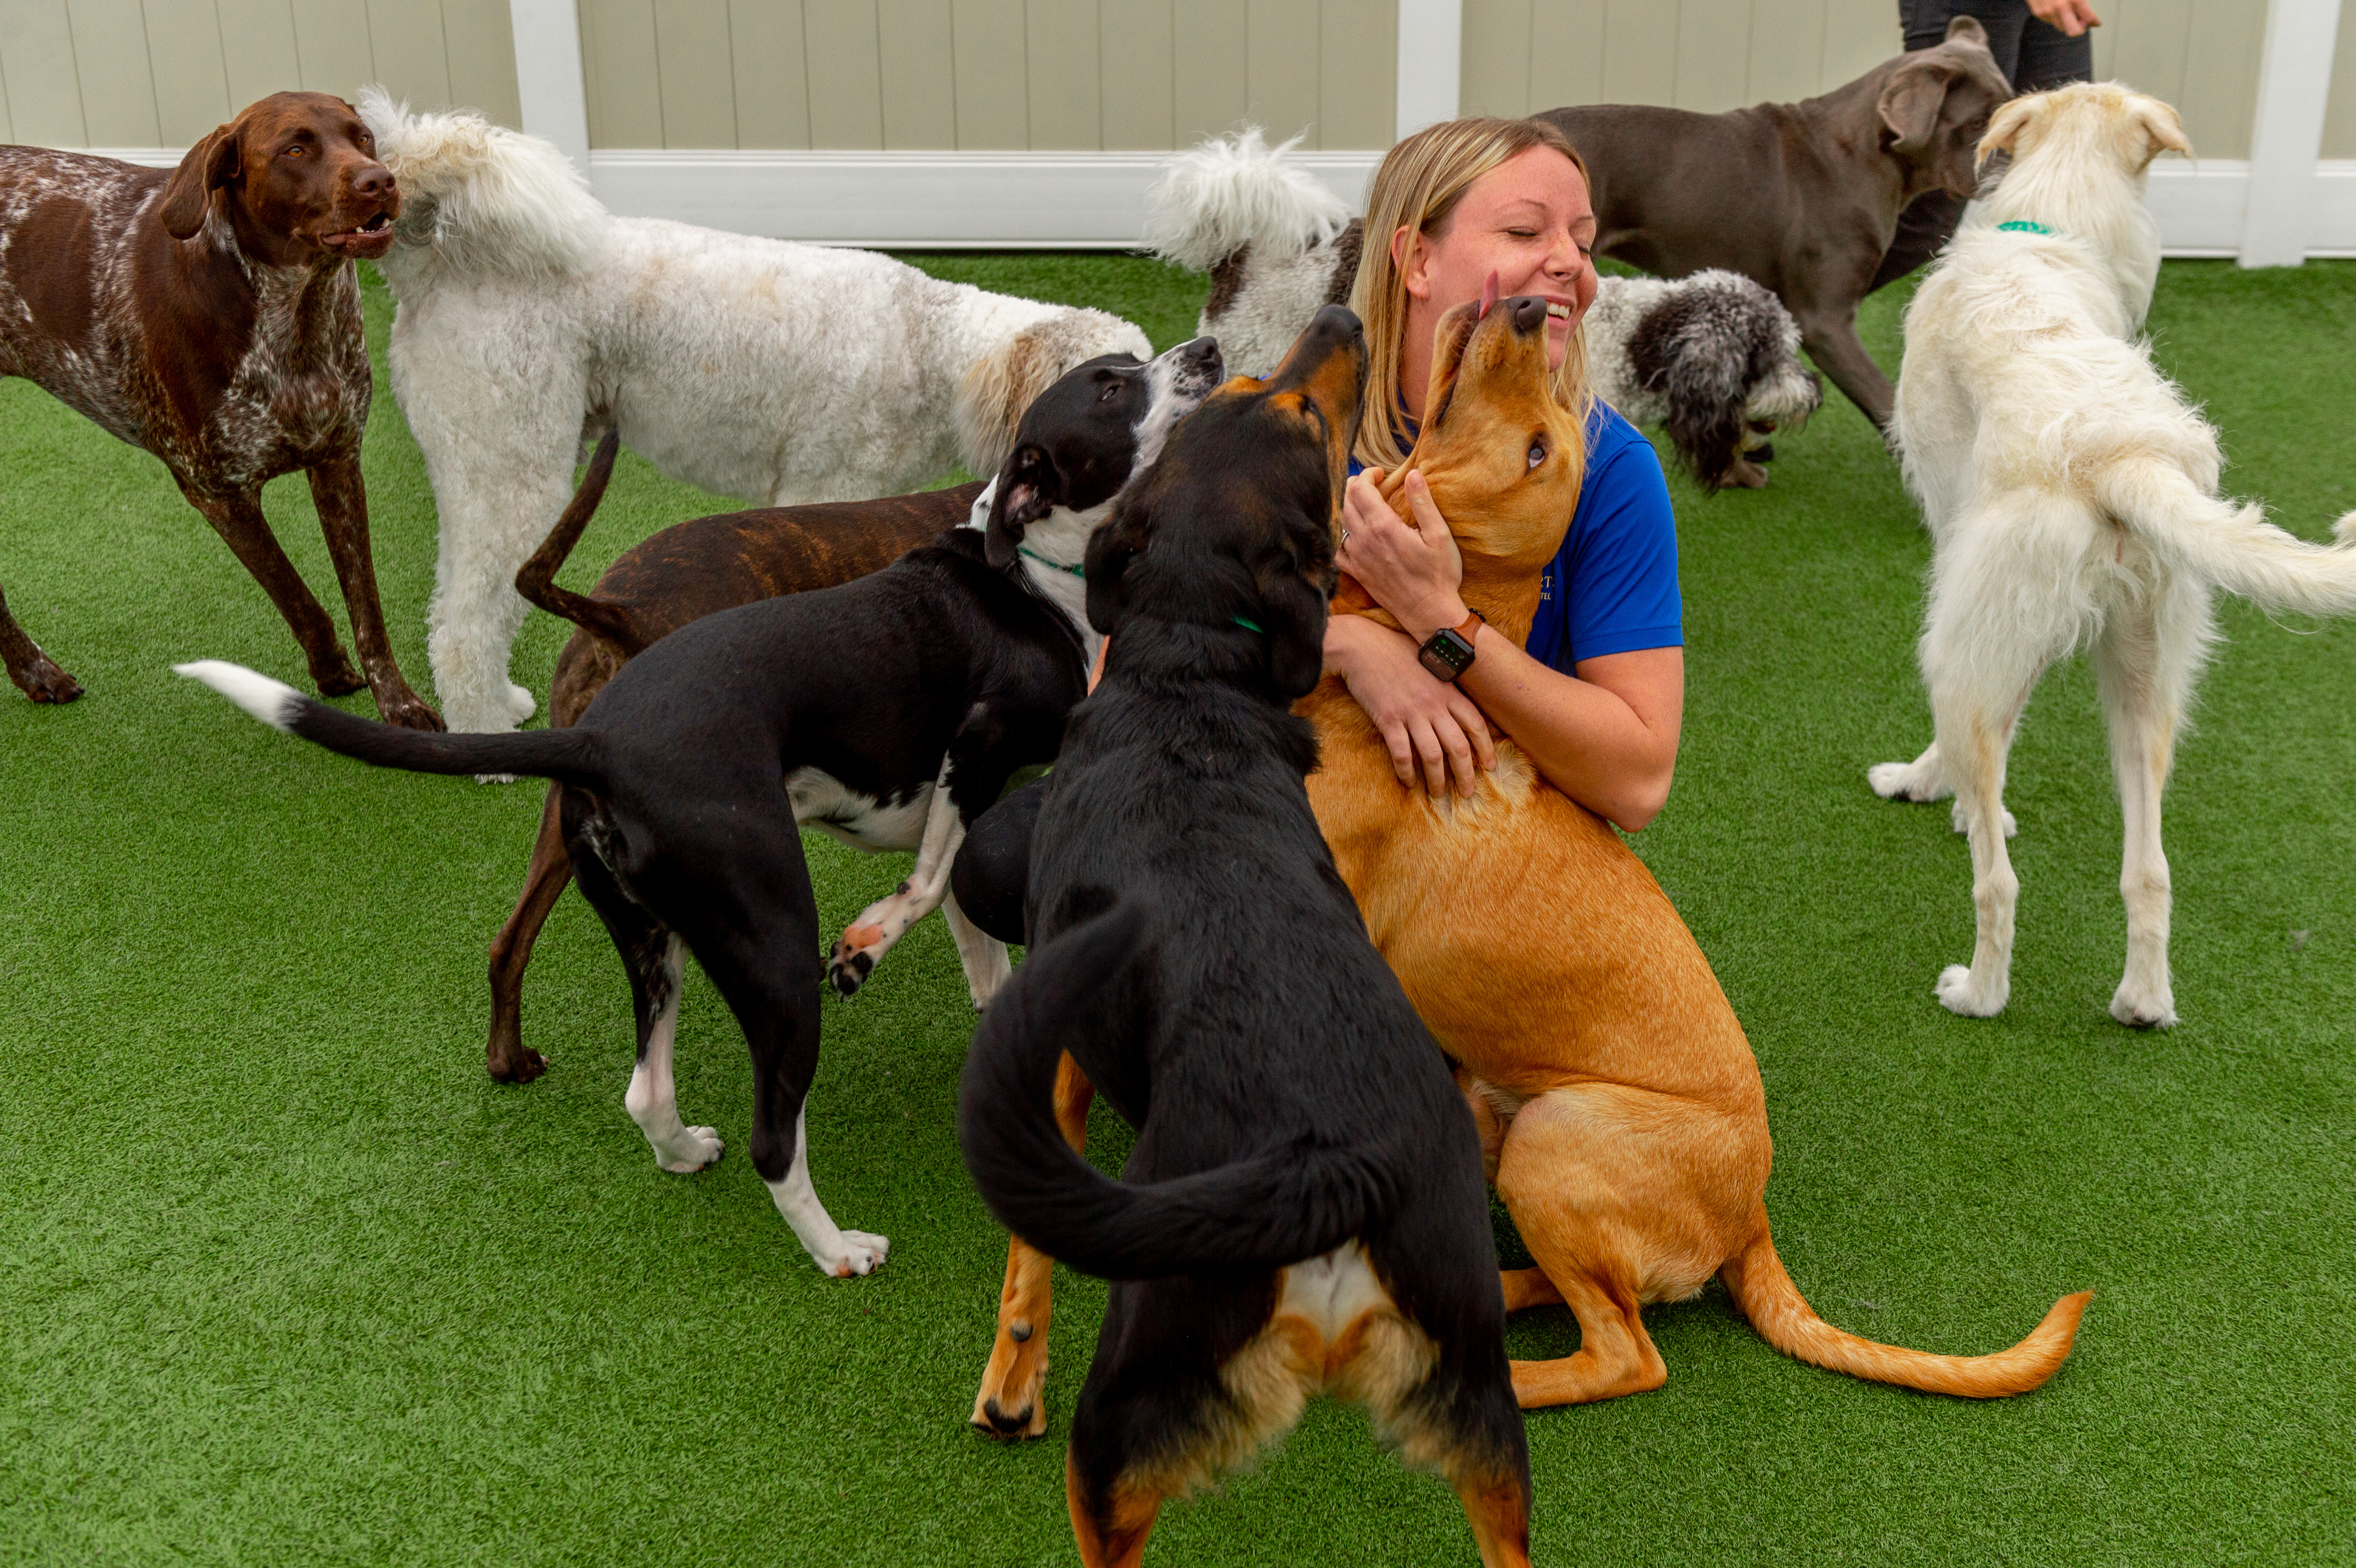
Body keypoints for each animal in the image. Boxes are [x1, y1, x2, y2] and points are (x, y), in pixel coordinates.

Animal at [0, 85, 440, 721]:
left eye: (362, 138)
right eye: (295, 149)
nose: (379, 181)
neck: (292, 317)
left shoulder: (337, 464)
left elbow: (368, 612)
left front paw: (398, 703)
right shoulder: (217, 494)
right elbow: (298, 596)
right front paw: (330, 670)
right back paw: (35, 668)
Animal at [356, 90, 1149, 735]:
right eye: (1111, 393)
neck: (930, 346)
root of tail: (436, 264)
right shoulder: (823, 489)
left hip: (488, 462)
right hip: (515, 467)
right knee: (463, 623)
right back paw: (485, 733)